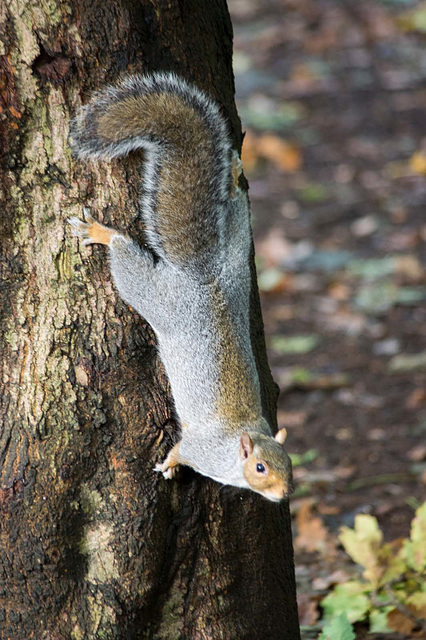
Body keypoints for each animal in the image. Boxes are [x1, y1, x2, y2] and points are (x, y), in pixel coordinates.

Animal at [68, 72, 292, 502]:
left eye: (290, 464)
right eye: (260, 468)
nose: (283, 495)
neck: (237, 445)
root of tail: (204, 276)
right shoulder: (200, 449)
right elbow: (179, 450)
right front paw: (169, 466)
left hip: (238, 257)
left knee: (237, 209)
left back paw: (234, 173)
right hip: (156, 296)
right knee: (126, 260)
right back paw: (102, 233)